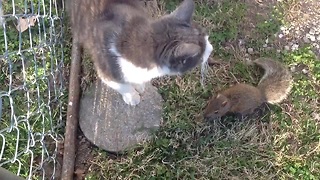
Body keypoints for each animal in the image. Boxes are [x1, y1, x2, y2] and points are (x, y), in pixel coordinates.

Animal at [67, 0, 212, 106]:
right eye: (201, 53)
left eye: (206, 37)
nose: (211, 48)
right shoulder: (106, 71)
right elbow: (122, 86)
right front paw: (132, 96)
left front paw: (139, 85)